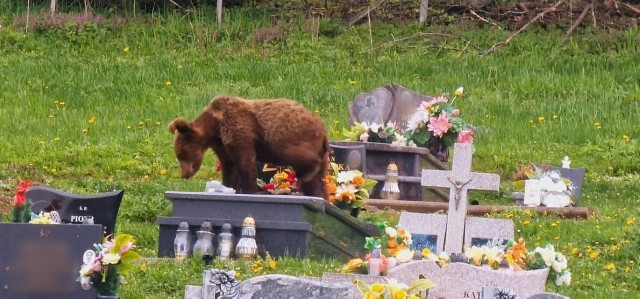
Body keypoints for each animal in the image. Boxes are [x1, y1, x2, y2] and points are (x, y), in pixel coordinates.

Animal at [169, 95, 330, 200]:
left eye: (182, 154)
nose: (184, 174)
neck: (215, 127)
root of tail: (322, 130)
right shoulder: (221, 145)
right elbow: (229, 167)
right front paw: (227, 186)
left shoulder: (239, 130)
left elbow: (245, 164)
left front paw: (249, 190)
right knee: (317, 182)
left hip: (288, 137)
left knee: (298, 157)